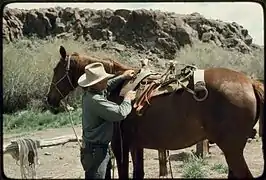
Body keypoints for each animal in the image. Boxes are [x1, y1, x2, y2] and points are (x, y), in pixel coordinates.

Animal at [45, 45, 264, 178]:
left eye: (56, 70)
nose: (49, 99)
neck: (114, 89)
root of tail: (251, 82)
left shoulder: (120, 145)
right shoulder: (136, 145)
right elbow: (138, 173)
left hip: (231, 148)